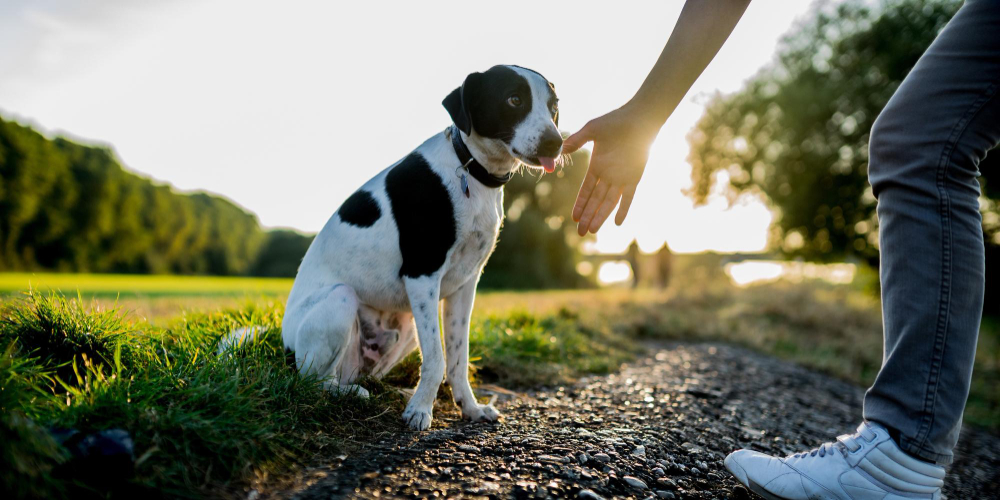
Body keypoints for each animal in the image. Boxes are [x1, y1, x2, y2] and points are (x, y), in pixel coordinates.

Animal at [221, 65, 564, 430]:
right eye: (514, 99)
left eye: (554, 106)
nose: (556, 142)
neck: (470, 169)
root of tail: (284, 345)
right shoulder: (422, 275)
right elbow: (438, 358)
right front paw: (421, 410)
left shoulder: (465, 285)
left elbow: (458, 357)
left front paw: (469, 408)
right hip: (341, 300)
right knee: (315, 382)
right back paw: (353, 394)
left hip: (406, 327)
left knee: (357, 375)